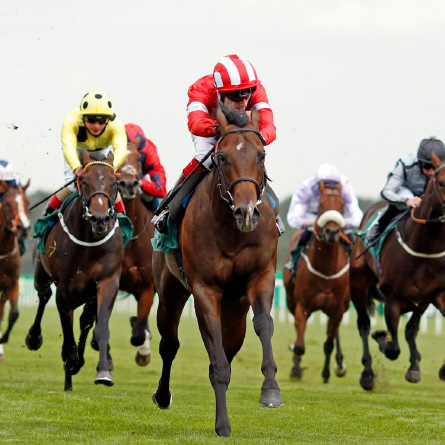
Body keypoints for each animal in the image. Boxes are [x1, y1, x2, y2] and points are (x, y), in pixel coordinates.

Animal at [25, 150, 123, 388]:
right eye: (84, 181)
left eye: (115, 183)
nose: (100, 219)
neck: (89, 242)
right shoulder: (65, 288)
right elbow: (67, 330)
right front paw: (70, 364)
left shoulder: (107, 281)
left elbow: (99, 326)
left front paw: (103, 371)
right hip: (41, 274)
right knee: (44, 296)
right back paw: (35, 338)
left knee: (85, 320)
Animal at [151, 105, 280, 438]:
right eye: (222, 157)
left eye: (261, 155)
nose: (246, 212)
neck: (232, 232)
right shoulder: (204, 290)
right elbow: (217, 363)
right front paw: (222, 425)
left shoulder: (261, 277)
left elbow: (264, 324)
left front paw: (271, 390)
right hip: (169, 294)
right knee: (169, 344)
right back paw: (162, 395)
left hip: (235, 308)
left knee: (231, 346)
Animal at [282, 180, 348, 382]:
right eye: (320, 205)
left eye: (342, 206)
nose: (332, 232)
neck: (326, 269)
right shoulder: (302, 306)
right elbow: (300, 344)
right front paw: (296, 369)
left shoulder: (337, 308)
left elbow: (328, 343)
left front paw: (326, 373)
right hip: (291, 300)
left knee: (336, 332)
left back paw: (340, 364)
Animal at [348, 153, 444, 388]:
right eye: (441, 183)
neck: (424, 246)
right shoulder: (392, 298)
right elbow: (392, 348)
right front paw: (381, 336)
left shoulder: (432, 294)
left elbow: (410, 329)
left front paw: (418, 367)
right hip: (358, 282)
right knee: (363, 324)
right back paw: (367, 373)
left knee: (409, 329)